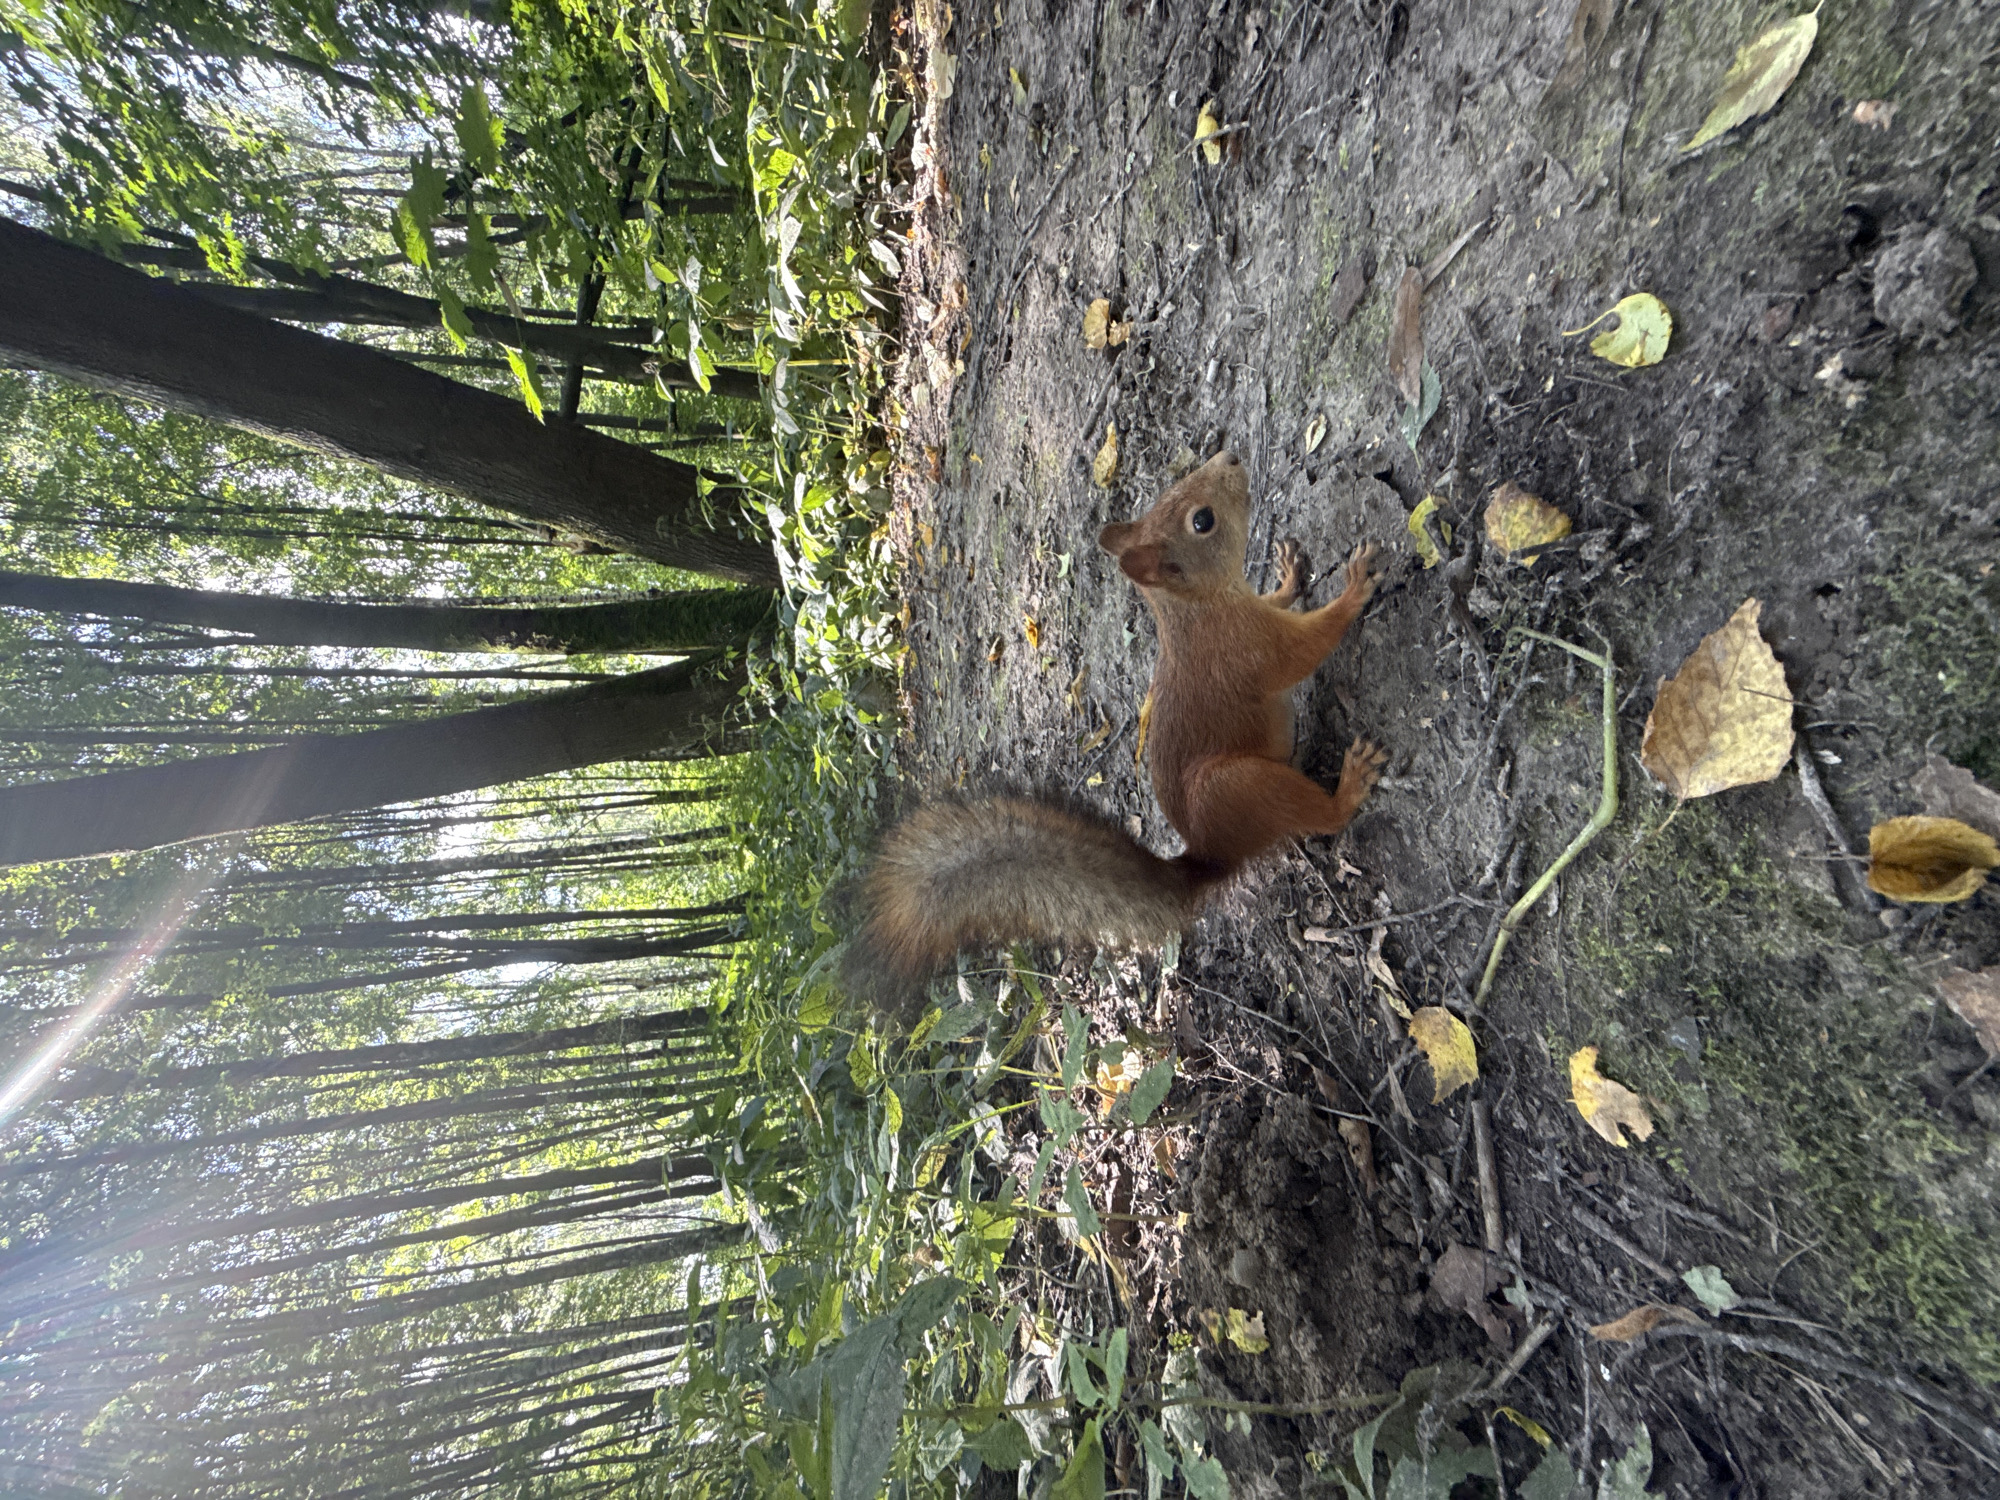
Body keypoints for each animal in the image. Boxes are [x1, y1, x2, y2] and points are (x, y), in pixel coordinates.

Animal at [848, 448, 1384, 1011]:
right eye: (1202, 521)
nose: (1233, 457)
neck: (1198, 606)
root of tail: (1212, 855)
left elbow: (1279, 603)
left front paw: (1287, 576)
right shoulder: (1251, 649)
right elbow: (1308, 648)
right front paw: (1355, 584)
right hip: (1235, 787)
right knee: (1320, 818)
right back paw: (1351, 783)